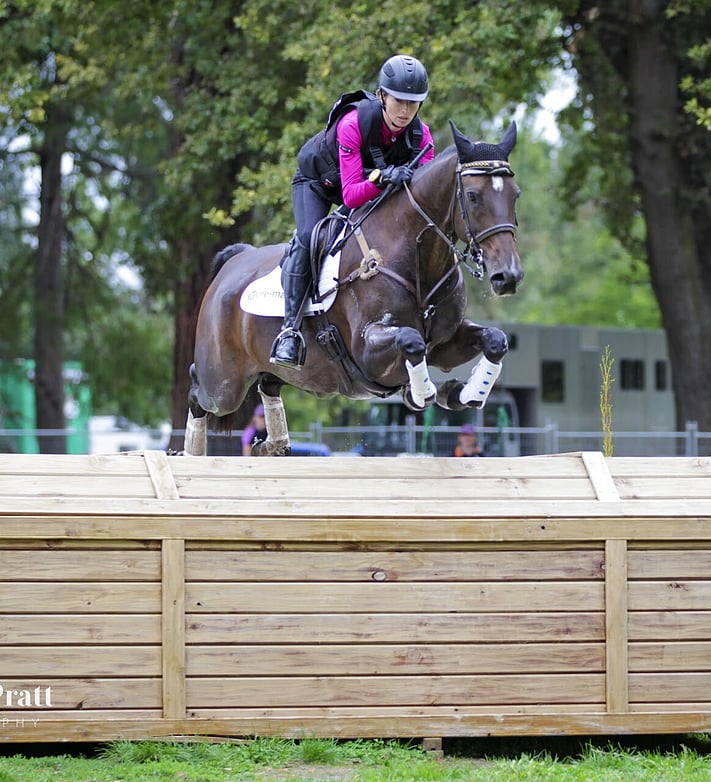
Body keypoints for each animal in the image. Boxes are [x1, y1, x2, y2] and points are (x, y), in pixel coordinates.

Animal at [184, 120, 523, 456]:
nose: (508, 276)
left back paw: (273, 445)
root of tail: (233, 261)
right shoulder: (367, 350)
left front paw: (467, 393)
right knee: (197, 391)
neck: (415, 257)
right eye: (473, 196)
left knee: (268, 385)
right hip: (224, 384)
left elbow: (495, 340)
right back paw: (191, 451)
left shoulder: (444, 343)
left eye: (515, 195)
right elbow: (411, 341)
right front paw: (423, 392)